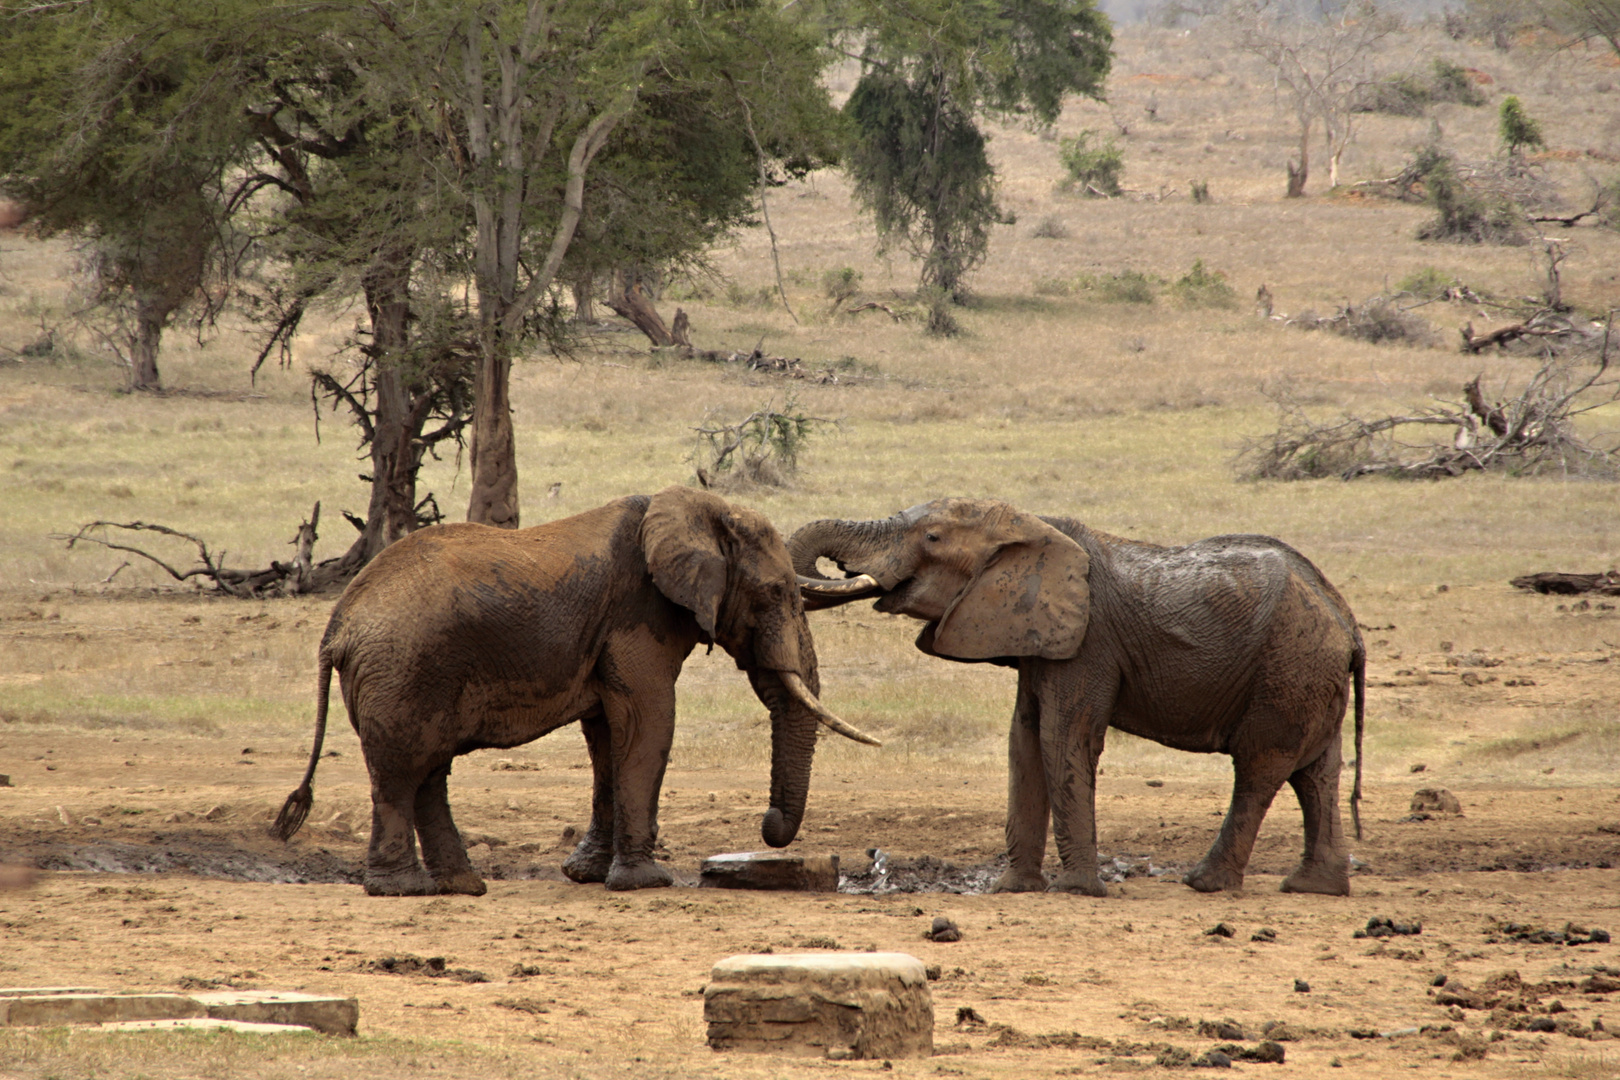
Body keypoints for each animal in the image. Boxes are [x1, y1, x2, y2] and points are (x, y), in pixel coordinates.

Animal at [272, 488, 881, 893]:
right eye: (776, 593)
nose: (769, 827)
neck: (694, 507)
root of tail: (336, 626)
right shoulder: (637, 618)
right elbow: (649, 721)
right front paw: (645, 882)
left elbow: (608, 735)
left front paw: (586, 876)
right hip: (402, 670)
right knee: (403, 770)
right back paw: (404, 890)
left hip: (408, 675)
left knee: (427, 771)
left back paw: (461, 887)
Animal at [790, 501, 1360, 900]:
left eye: (931, 537)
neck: (1035, 525)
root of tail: (1345, 618)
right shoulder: (1038, 637)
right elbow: (1023, 741)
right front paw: (1012, 889)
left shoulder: (1089, 644)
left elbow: (1062, 737)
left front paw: (1076, 891)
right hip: (1309, 677)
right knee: (1316, 773)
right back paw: (1315, 888)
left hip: (1290, 668)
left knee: (1261, 767)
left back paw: (1205, 882)